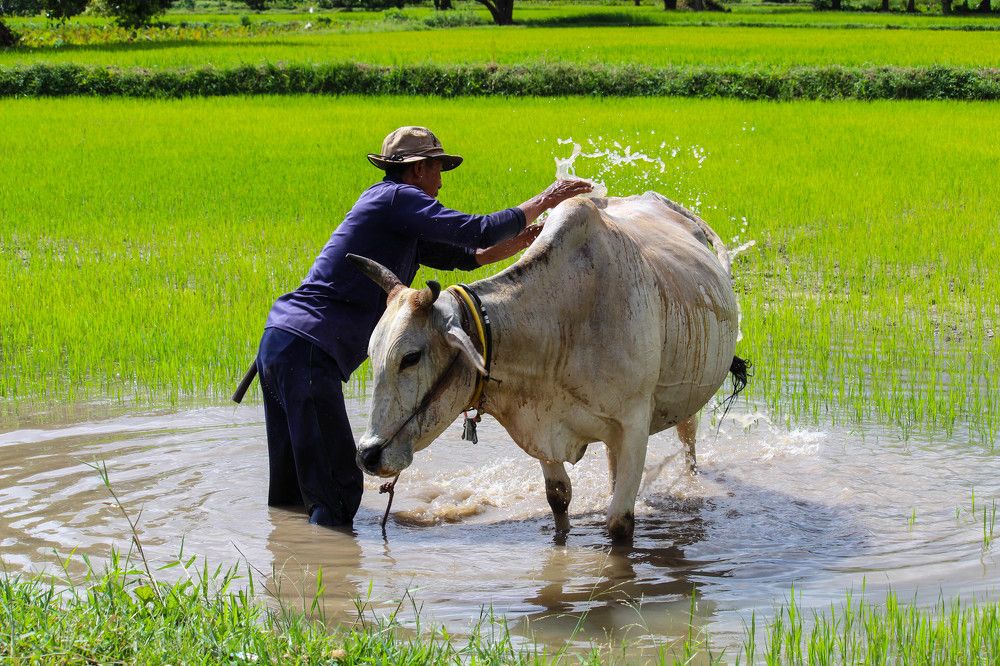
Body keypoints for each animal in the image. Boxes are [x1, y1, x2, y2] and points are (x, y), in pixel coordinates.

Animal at [349, 191, 745, 541]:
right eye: (372, 354)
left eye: (410, 357)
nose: (367, 454)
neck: (562, 321)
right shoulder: (542, 428)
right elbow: (558, 499)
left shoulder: (634, 422)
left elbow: (619, 523)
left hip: (685, 402)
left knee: (689, 447)